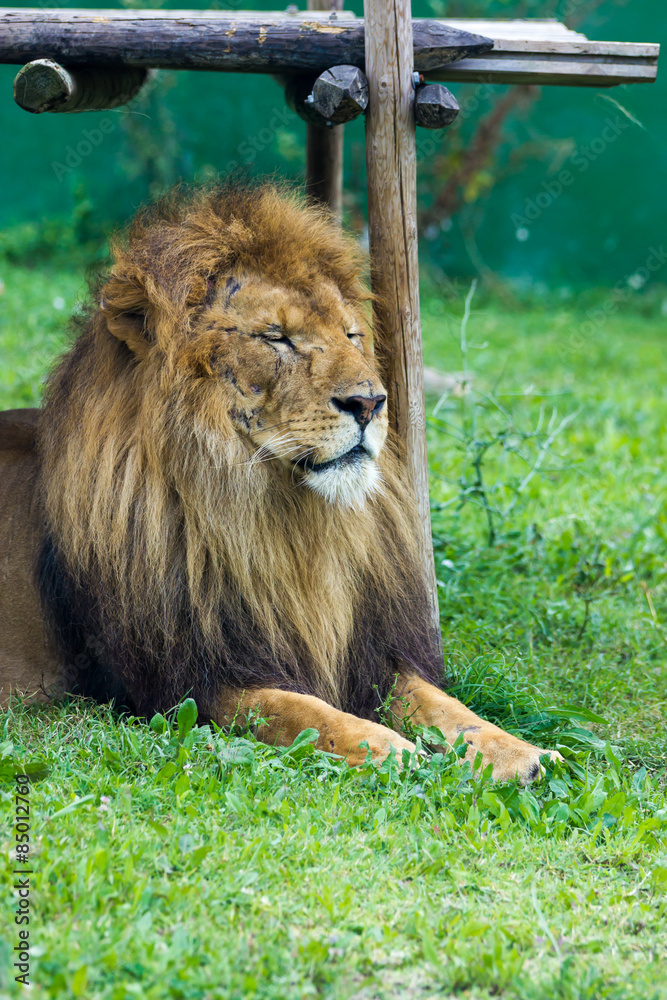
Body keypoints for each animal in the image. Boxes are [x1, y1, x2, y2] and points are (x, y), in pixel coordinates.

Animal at [0, 183, 561, 782]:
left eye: (351, 334)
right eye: (277, 338)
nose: (370, 402)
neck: (283, 525)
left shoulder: (369, 654)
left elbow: (444, 705)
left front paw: (522, 752)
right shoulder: (182, 685)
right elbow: (303, 710)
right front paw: (390, 750)